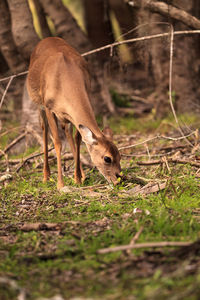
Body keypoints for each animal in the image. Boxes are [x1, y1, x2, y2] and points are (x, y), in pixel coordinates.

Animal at [26, 36, 121, 189]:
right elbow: (57, 142)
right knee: (44, 130)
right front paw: (60, 184)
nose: (118, 179)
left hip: (65, 117)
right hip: (39, 104)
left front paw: (78, 178)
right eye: (107, 158)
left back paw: (81, 175)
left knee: (67, 131)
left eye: (119, 155)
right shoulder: (48, 107)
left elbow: (78, 139)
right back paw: (46, 176)